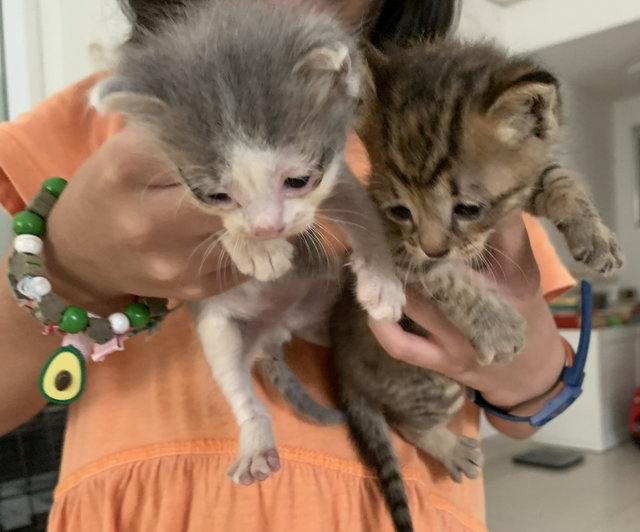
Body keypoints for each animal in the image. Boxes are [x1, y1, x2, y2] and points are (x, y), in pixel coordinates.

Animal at [90, 0, 404, 484]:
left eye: (299, 180)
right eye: (216, 195)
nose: (267, 228)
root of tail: (276, 330)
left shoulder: (336, 175)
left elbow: (363, 216)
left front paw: (382, 281)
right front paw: (257, 251)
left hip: (321, 290)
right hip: (219, 331)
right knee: (239, 387)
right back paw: (256, 442)